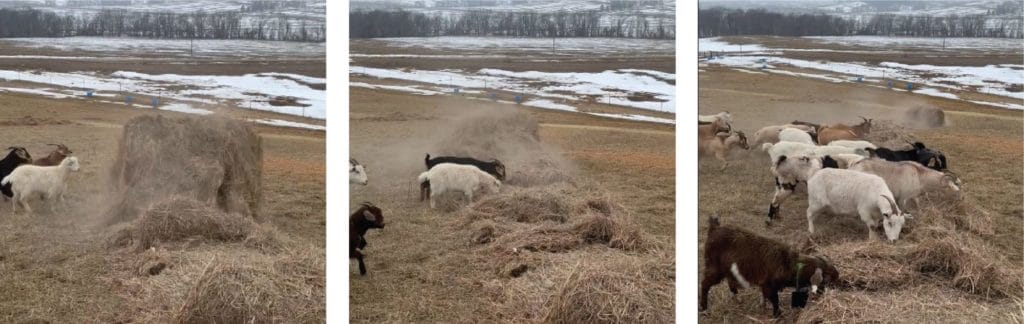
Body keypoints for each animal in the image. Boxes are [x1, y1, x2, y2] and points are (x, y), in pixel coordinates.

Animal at [696, 216, 839, 317]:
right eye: (826, 279)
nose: (822, 296)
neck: (788, 263)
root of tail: (714, 228)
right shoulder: (769, 285)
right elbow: (774, 300)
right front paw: (777, 315)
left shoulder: (764, 284)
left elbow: (764, 297)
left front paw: (763, 307)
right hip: (713, 267)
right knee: (705, 284)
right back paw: (704, 309)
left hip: (728, 268)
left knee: (730, 281)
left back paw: (738, 299)